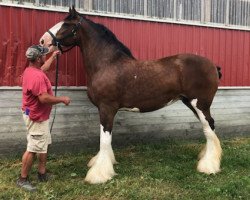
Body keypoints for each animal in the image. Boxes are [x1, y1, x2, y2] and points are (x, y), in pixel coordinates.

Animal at [40, 6, 222, 184]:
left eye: (66, 25)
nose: (43, 41)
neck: (107, 64)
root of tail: (213, 65)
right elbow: (106, 138)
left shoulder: (106, 108)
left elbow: (104, 139)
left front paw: (99, 174)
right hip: (191, 103)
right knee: (209, 128)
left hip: (200, 104)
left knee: (209, 127)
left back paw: (208, 166)